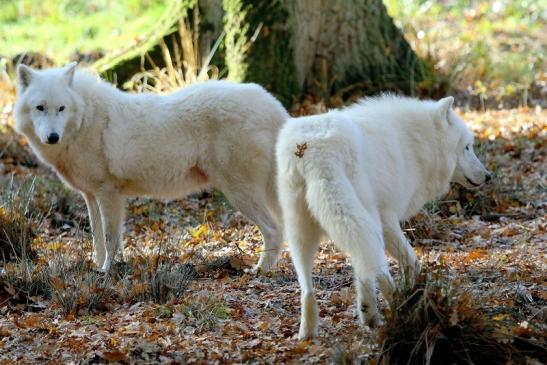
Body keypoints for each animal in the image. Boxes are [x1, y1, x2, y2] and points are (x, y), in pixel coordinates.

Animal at [13, 64, 292, 272]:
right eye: (40, 108)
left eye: (61, 108)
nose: (52, 137)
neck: (86, 120)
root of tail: (274, 107)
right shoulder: (91, 196)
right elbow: (98, 238)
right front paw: (99, 266)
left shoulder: (108, 194)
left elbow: (110, 239)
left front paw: (106, 271)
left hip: (239, 193)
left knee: (274, 230)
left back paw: (260, 270)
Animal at [278, 94, 492, 338]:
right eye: (467, 147)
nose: (488, 176)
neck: (417, 143)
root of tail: (313, 152)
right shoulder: (387, 219)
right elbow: (411, 261)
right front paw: (418, 293)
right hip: (364, 219)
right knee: (376, 266)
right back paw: (393, 306)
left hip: (303, 233)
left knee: (309, 287)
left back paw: (308, 332)